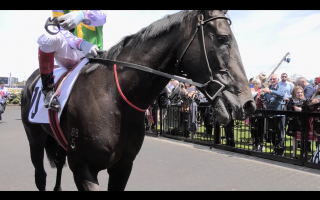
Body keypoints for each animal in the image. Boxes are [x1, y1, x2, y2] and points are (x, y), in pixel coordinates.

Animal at [20, 9, 255, 191]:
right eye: (222, 38)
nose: (247, 103)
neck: (114, 100)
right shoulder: (82, 167)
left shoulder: (123, 167)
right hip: (35, 139)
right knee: (40, 176)